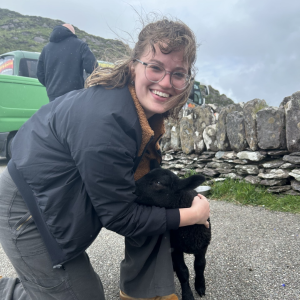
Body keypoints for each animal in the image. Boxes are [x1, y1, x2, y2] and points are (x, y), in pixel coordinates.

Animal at [136, 162, 211, 300]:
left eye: (158, 182)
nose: (132, 188)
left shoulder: (203, 246)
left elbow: (200, 265)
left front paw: (200, 286)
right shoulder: (175, 248)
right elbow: (183, 271)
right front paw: (187, 295)